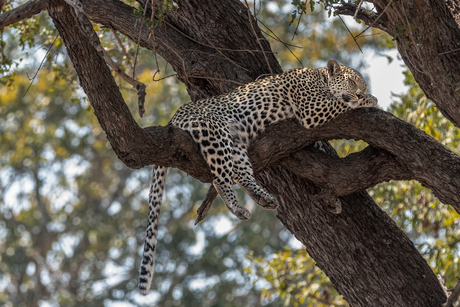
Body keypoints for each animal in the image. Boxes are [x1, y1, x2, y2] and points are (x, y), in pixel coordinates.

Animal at [138, 60, 380, 296]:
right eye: (352, 81)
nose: (361, 91)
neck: (319, 77)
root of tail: (173, 117)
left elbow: (321, 148)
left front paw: (333, 200)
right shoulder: (311, 109)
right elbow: (342, 103)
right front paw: (369, 99)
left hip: (235, 142)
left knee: (241, 174)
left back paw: (264, 198)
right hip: (215, 135)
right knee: (220, 178)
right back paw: (237, 207)